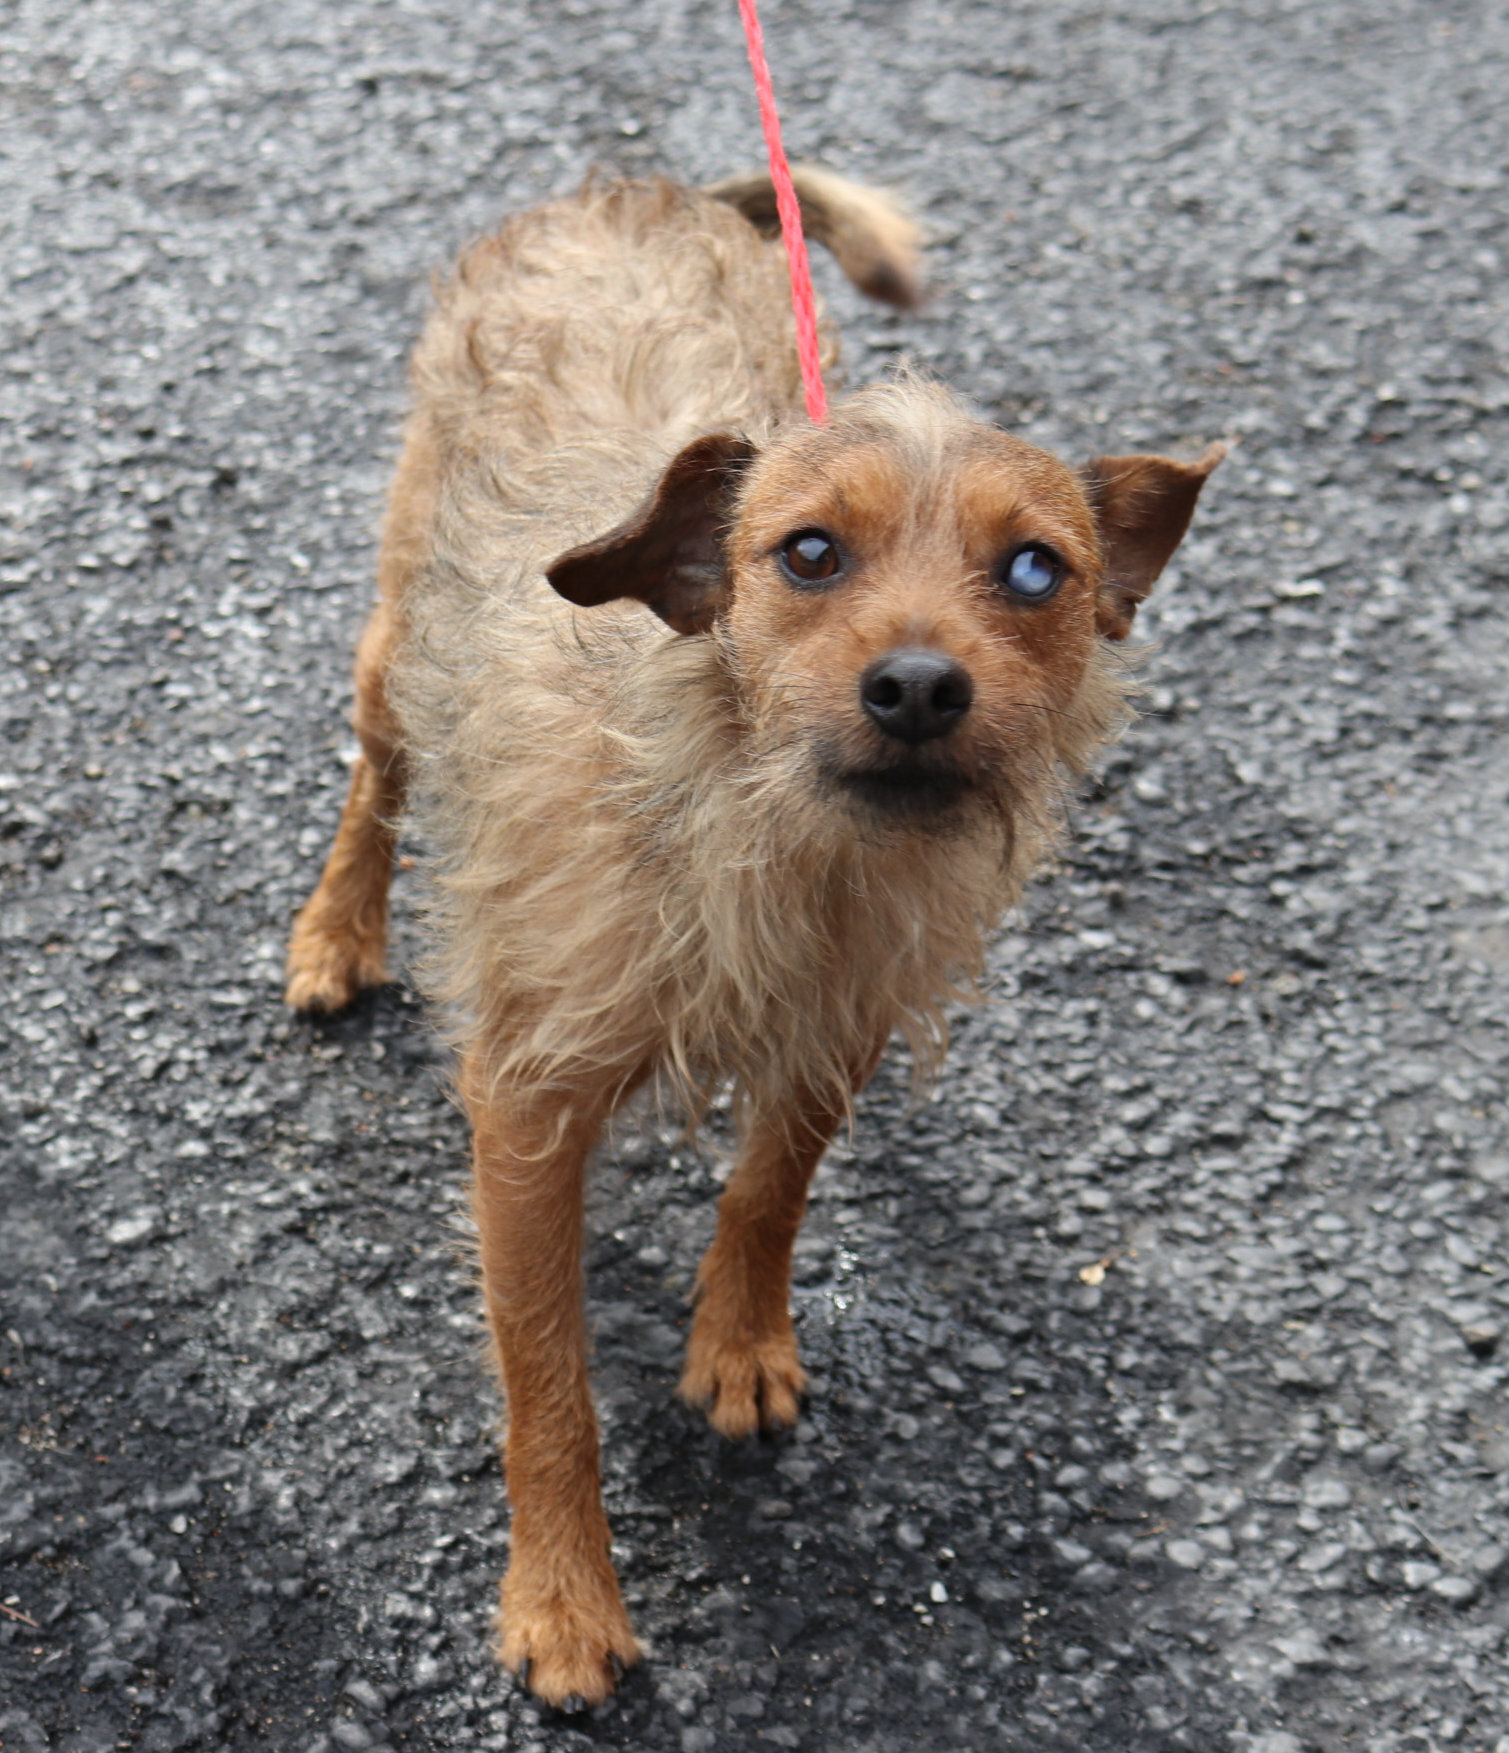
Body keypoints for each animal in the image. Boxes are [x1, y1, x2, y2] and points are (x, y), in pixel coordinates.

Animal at [285, 170, 1226, 1703]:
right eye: (809, 553)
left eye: (1036, 569)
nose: (919, 686)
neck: (765, 826)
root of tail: (644, 191)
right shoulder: (526, 1111)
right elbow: (548, 1384)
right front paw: (562, 1600)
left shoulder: (841, 1021)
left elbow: (771, 1185)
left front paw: (739, 1338)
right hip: (397, 642)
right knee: (375, 778)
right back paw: (335, 934)